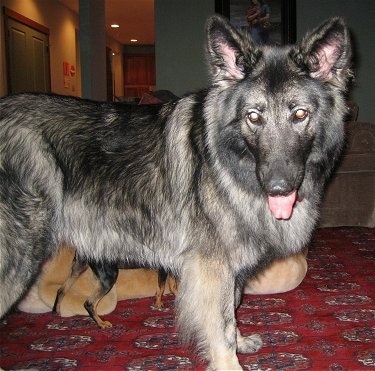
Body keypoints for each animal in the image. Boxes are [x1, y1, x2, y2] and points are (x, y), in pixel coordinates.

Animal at [0, 13, 352, 370]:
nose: (278, 187)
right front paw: (229, 361)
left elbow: (234, 309)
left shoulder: (228, 269)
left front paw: (240, 341)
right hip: (19, 259)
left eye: (300, 114)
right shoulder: (212, 269)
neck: (227, 160)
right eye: (254, 116)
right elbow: (223, 325)